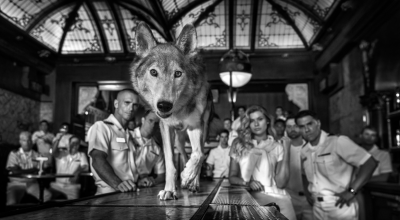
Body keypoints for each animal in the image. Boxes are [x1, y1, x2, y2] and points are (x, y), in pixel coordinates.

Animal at [130, 21, 212, 199]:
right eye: (153, 72)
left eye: (178, 74)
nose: (164, 105)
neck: (178, 111)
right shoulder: (166, 128)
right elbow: (170, 163)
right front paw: (169, 189)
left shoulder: (196, 125)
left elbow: (199, 154)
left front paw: (187, 176)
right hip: (179, 141)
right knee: (185, 154)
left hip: (202, 129)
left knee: (199, 152)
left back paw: (193, 182)